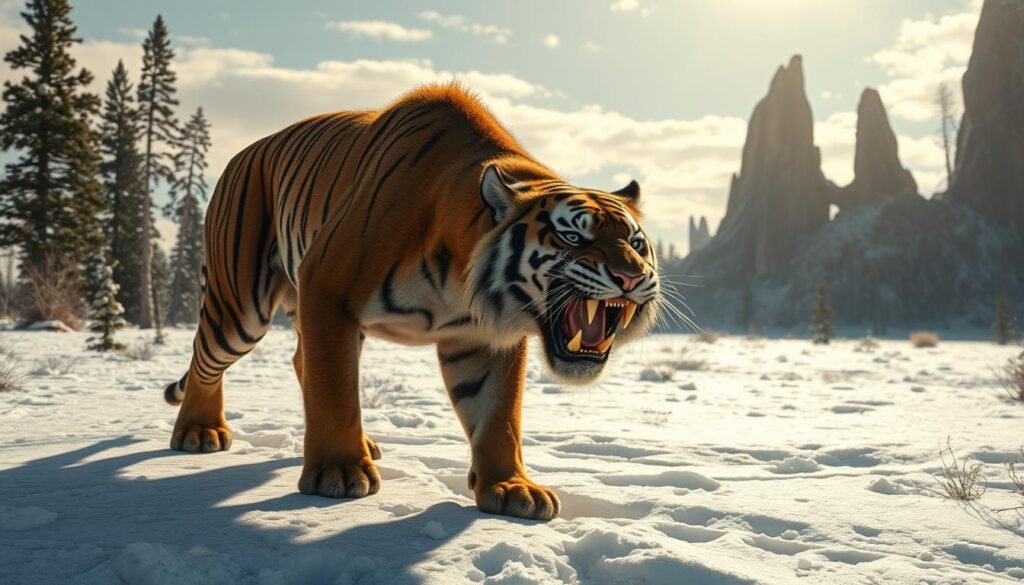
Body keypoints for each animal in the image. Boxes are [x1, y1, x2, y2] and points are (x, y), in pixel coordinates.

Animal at [164, 84, 660, 520]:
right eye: (573, 236)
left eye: (636, 242)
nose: (631, 276)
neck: (460, 271)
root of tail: (242, 153)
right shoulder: (326, 285)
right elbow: (335, 390)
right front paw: (338, 471)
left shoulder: (487, 334)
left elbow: (498, 413)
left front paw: (511, 487)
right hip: (239, 308)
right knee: (207, 357)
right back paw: (199, 432)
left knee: (298, 358)